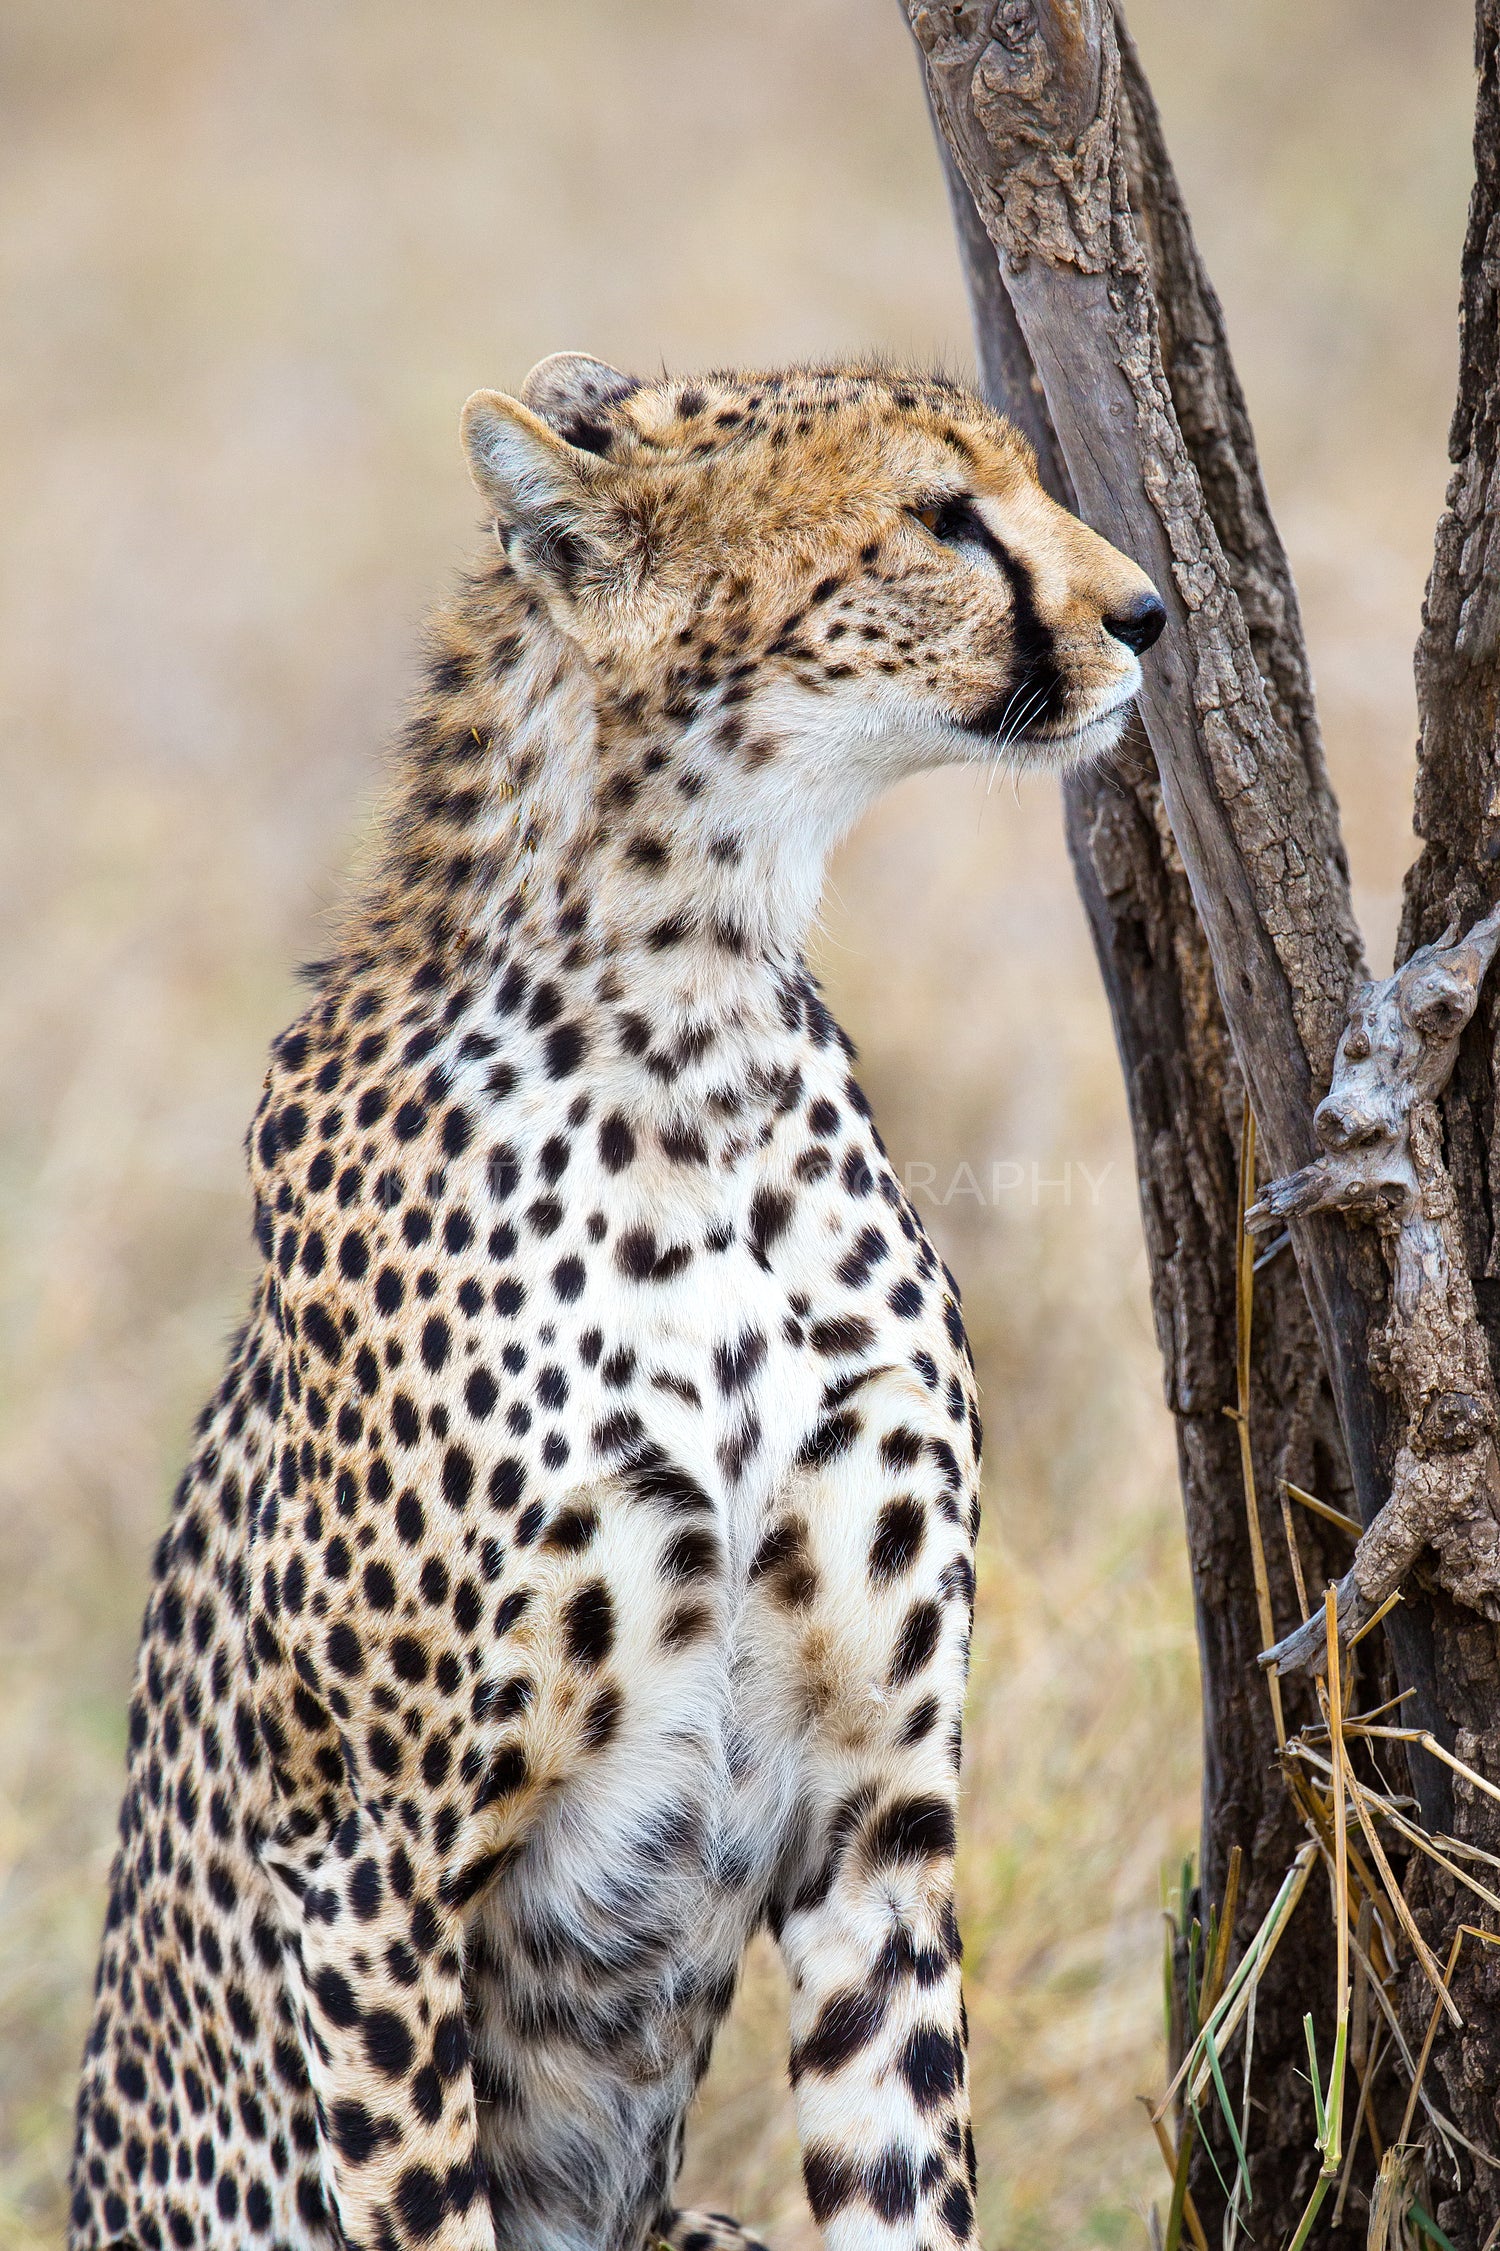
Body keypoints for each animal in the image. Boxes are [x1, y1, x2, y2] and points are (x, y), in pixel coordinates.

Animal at [70, 351, 1162, 2251]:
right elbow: (425, 2195)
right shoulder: (370, 1853)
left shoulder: (880, 1795)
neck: (689, 1027)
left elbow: (905, 2160)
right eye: (942, 515)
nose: (1153, 613)